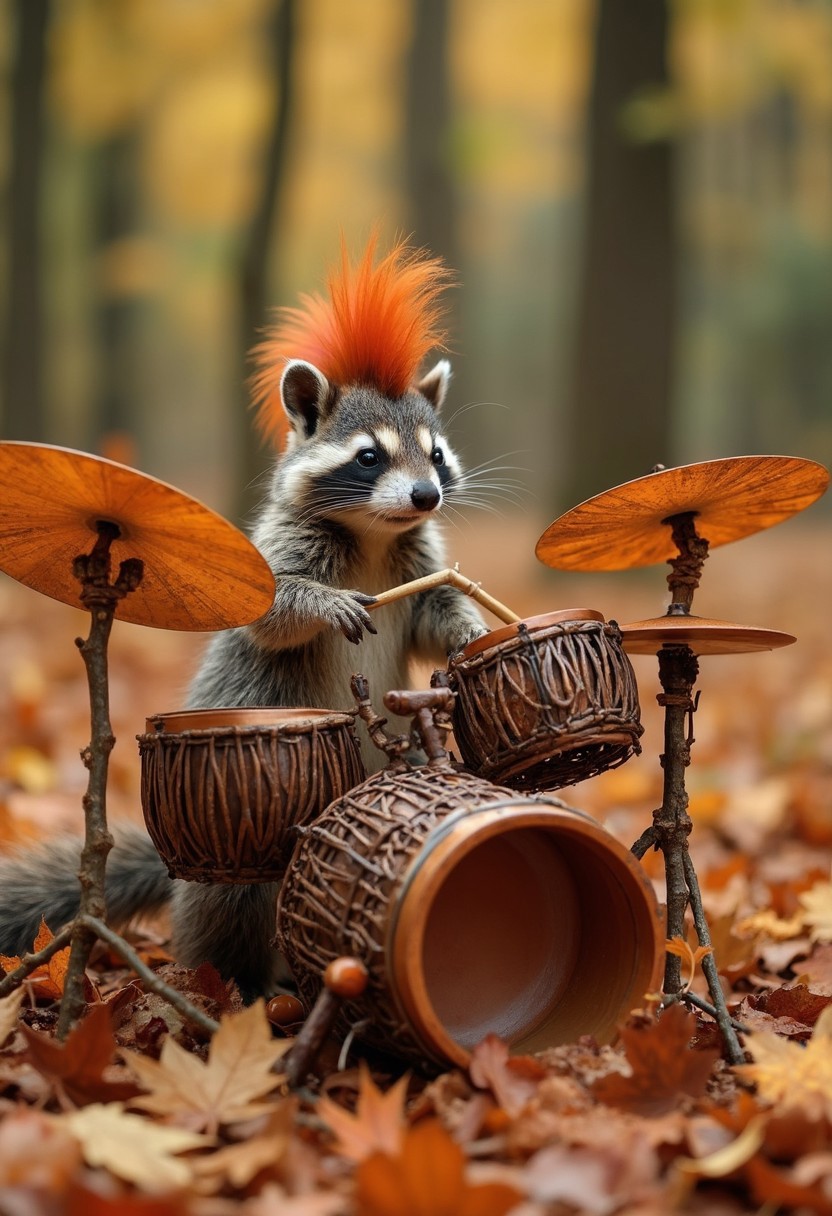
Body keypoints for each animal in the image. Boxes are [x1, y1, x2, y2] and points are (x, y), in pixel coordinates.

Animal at [0, 237, 488, 1000]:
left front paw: (467, 623)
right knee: (234, 905)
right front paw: (318, 603)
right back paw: (236, 982)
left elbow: (433, 611)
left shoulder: (415, 558)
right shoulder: (283, 550)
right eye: (369, 456)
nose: (426, 495)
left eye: (435, 454)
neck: (373, 535)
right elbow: (272, 612)